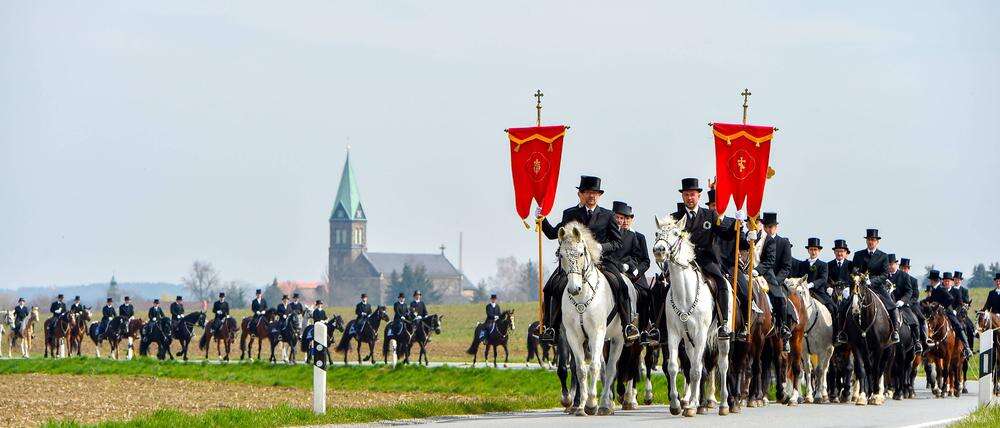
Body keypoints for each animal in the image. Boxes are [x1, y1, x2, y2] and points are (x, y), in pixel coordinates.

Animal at [556, 222, 624, 416]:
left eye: (580, 253)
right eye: (561, 255)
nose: (574, 289)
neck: (581, 298)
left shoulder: (596, 332)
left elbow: (594, 366)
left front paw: (592, 404)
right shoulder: (572, 335)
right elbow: (580, 369)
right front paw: (580, 406)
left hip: (617, 338)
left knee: (610, 368)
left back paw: (605, 405)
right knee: (602, 366)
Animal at [652, 216, 732, 416]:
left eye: (675, 233)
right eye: (657, 233)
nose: (659, 251)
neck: (684, 294)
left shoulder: (701, 334)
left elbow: (696, 370)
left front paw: (693, 405)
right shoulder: (673, 334)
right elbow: (674, 367)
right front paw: (676, 404)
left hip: (721, 337)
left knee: (722, 364)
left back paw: (723, 404)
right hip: (688, 341)